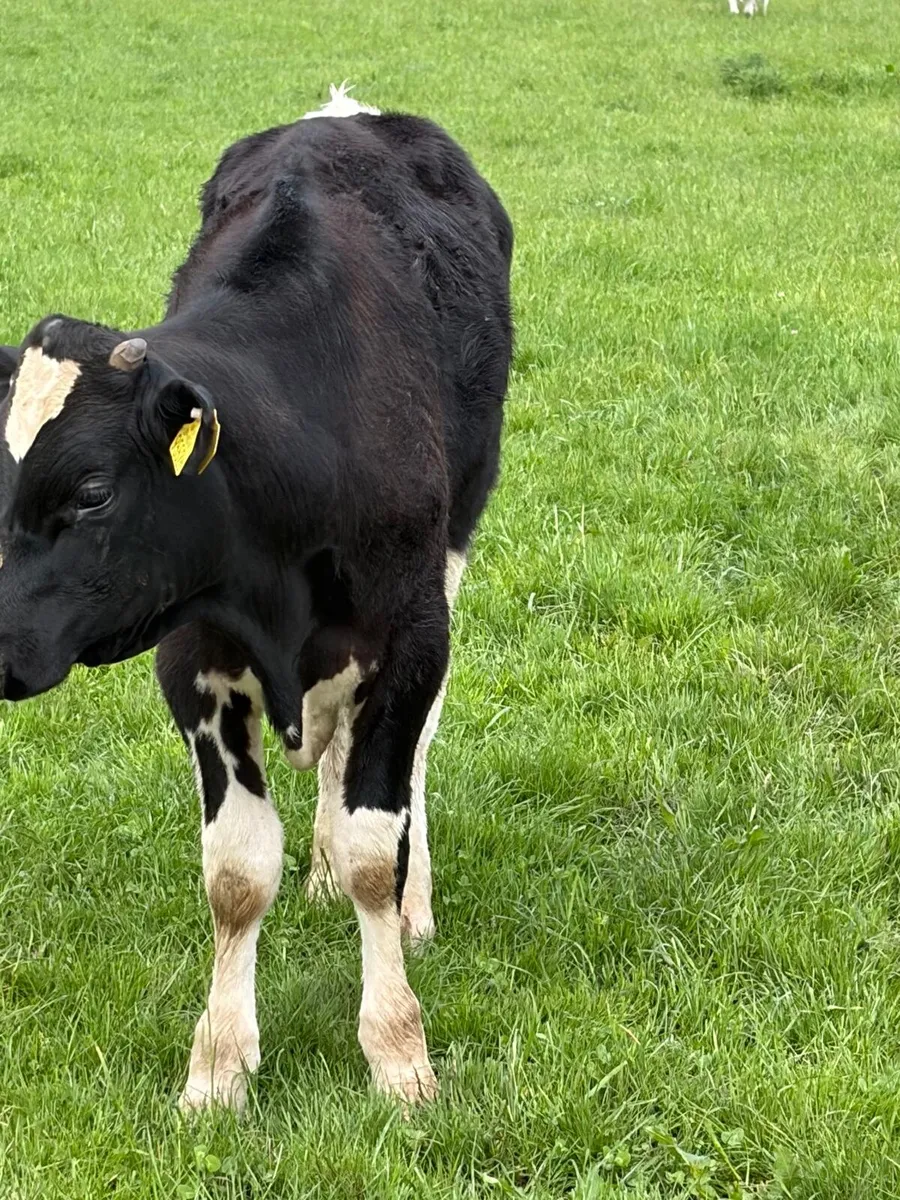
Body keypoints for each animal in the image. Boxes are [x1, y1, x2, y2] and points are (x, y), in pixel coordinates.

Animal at [0, 84, 513, 1111]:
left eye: (93, 491)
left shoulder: (411, 639)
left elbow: (374, 847)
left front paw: (397, 1053)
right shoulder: (193, 659)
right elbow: (237, 873)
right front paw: (218, 1068)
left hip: (453, 554)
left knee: (407, 762)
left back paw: (413, 899)